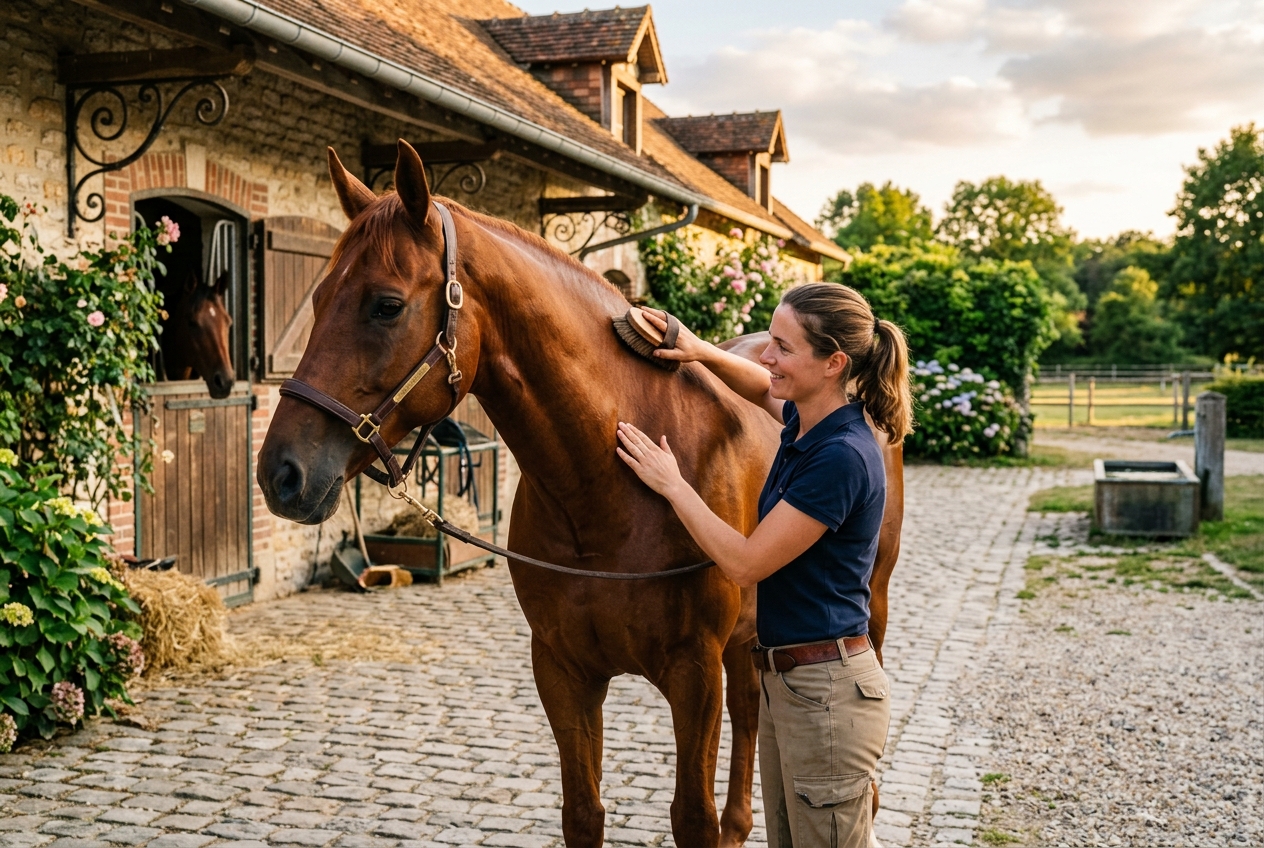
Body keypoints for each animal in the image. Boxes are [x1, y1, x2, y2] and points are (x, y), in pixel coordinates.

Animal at [257, 140, 903, 846]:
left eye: (387, 305)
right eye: (318, 297)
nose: (281, 472)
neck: (602, 493)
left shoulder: (693, 674)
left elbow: (692, 817)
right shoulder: (563, 670)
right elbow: (583, 812)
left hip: (867, 608)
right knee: (752, 707)